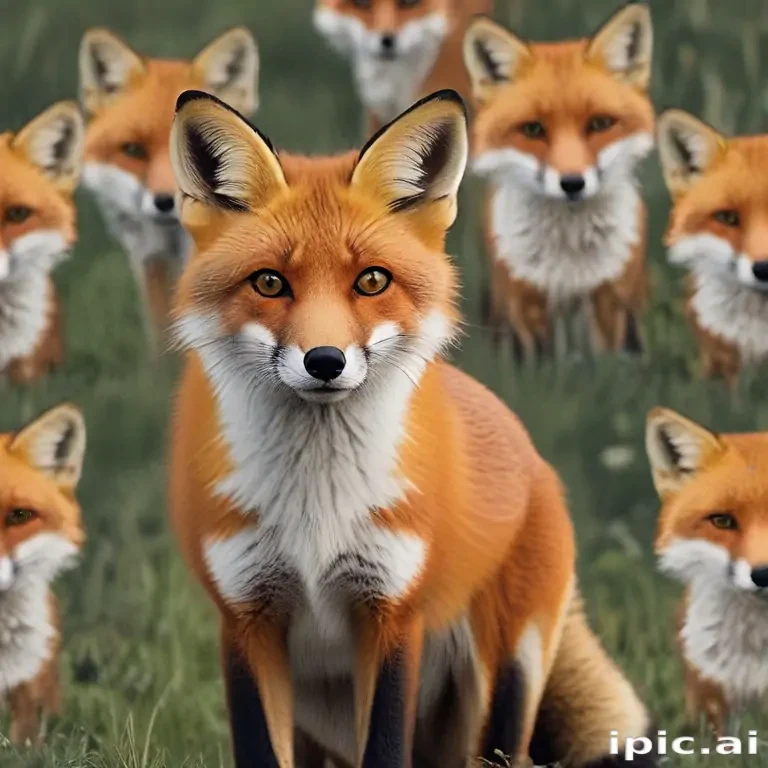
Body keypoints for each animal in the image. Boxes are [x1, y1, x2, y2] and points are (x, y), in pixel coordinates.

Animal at [167, 88, 655, 768]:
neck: (316, 510)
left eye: (371, 280)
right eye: (270, 282)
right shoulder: (245, 617)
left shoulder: (391, 613)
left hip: (506, 676)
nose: (325, 361)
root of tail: (531, 453)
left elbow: (385, 747)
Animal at [463, 2, 655, 361]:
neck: (569, 253)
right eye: (533, 129)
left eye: (600, 124)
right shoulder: (526, 301)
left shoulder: (608, 299)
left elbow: (603, 363)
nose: (572, 183)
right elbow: (545, 366)